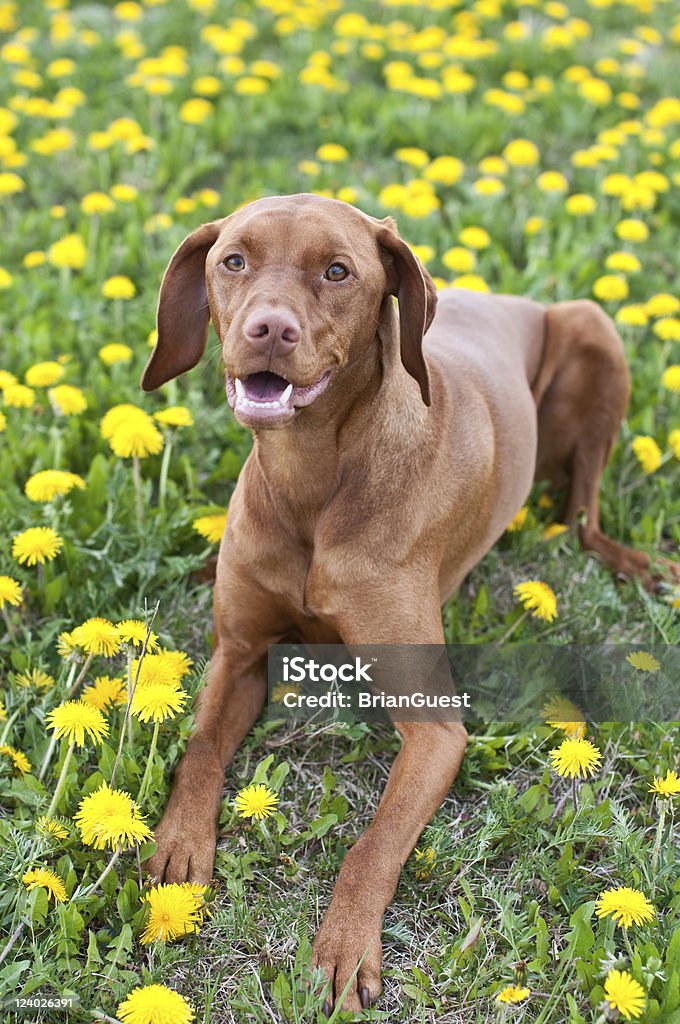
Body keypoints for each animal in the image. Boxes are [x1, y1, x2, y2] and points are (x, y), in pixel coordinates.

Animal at [143, 195, 659, 1011]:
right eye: (234, 261)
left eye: (337, 270)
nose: (269, 330)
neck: (313, 479)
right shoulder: (240, 654)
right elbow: (198, 751)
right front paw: (176, 848)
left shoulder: (435, 728)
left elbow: (373, 842)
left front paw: (345, 948)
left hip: (593, 332)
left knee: (585, 515)